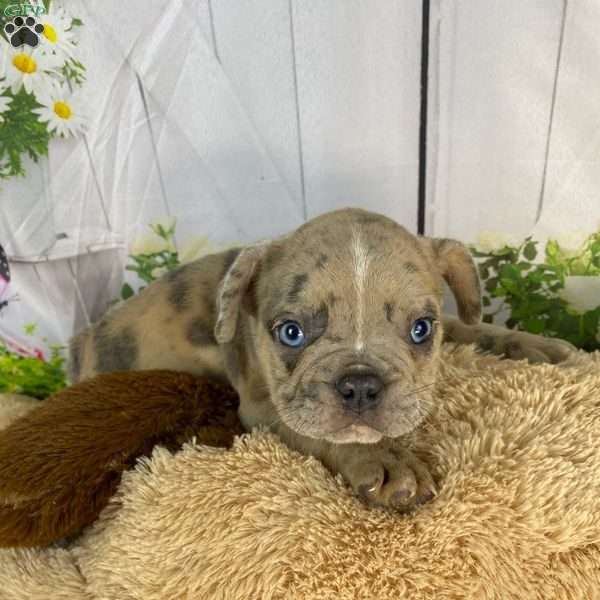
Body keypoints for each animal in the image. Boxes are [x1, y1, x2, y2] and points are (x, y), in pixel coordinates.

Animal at [68, 209, 576, 508]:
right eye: (290, 333)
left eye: (421, 329)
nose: (361, 385)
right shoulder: (268, 407)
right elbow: (328, 434)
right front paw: (386, 462)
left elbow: (467, 326)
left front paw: (534, 344)